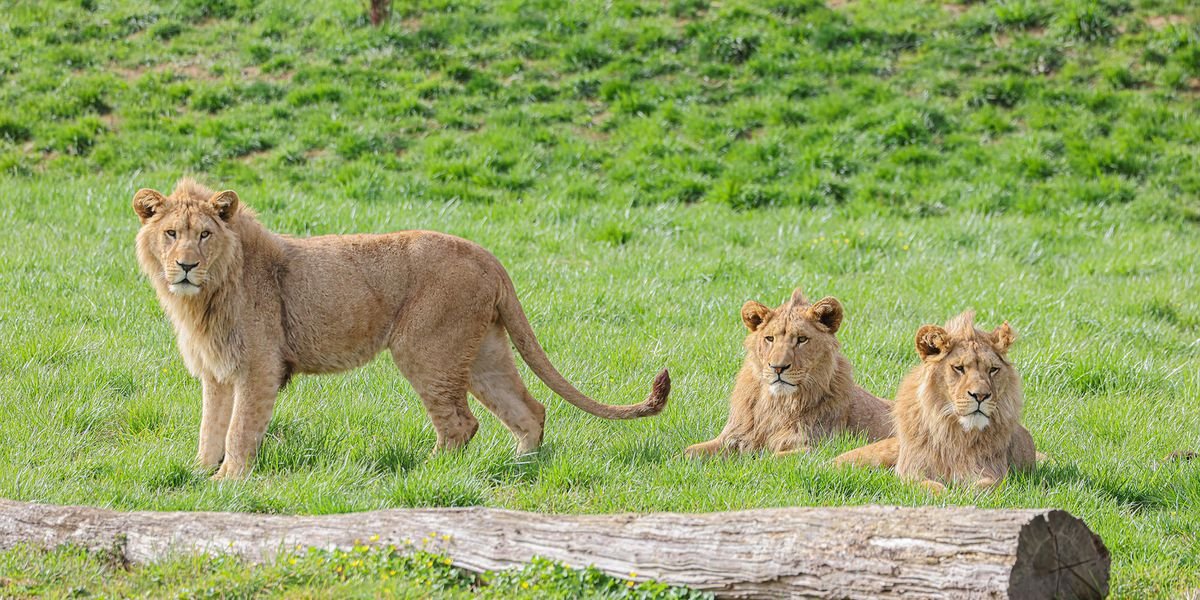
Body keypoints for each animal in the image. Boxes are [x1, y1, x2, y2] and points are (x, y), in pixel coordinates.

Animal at [133, 179, 670, 479]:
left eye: (205, 235)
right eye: (171, 233)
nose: (185, 265)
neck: (203, 297)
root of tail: (488, 255)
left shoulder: (260, 367)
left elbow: (241, 428)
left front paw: (228, 481)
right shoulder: (217, 370)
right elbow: (211, 427)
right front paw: (198, 474)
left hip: (425, 349)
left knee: (461, 424)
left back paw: (423, 476)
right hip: (482, 351)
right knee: (529, 410)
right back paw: (519, 469)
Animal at [683, 288, 893, 457]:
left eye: (801, 339)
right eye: (769, 338)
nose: (778, 367)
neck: (777, 404)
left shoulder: (818, 447)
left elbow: (767, 459)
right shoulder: (732, 436)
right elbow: (688, 452)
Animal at [834, 311, 1037, 491]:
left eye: (993, 370)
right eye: (959, 368)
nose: (980, 396)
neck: (954, 432)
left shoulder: (994, 471)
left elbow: (985, 486)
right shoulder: (909, 471)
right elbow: (929, 487)